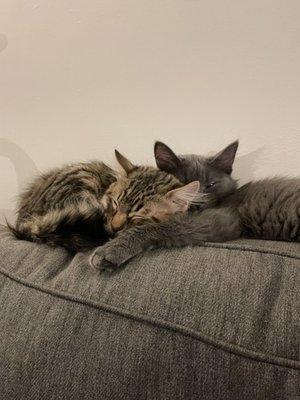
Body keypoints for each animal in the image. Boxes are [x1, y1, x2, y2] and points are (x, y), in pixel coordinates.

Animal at [89, 141, 300, 272]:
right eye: (182, 181)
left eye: (210, 185)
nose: (197, 201)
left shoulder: (222, 220)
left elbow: (161, 226)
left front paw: (111, 249)